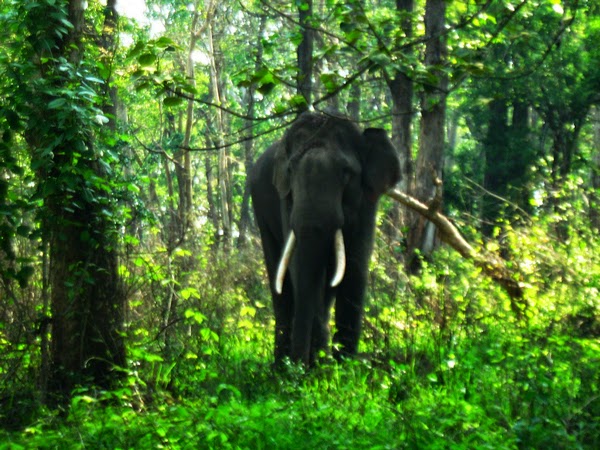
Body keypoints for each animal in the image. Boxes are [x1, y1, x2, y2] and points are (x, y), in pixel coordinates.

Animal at [248, 111, 398, 366]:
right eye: (290, 170)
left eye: (346, 172)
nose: (300, 364)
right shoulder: (286, 200)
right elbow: (299, 268)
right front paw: (319, 365)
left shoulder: (366, 203)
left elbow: (355, 268)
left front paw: (344, 365)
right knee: (280, 282)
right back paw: (280, 365)